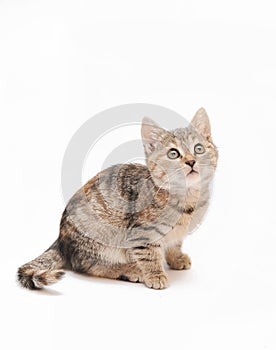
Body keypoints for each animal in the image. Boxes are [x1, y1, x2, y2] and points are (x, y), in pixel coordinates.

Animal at [18, 107, 219, 290]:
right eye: (173, 153)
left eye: (199, 149)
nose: (191, 161)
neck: (188, 198)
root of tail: (61, 240)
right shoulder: (141, 232)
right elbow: (148, 254)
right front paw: (155, 274)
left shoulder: (176, 234)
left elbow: (175, 243)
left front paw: (176, 258)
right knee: (87, 265)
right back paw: (129, 269)